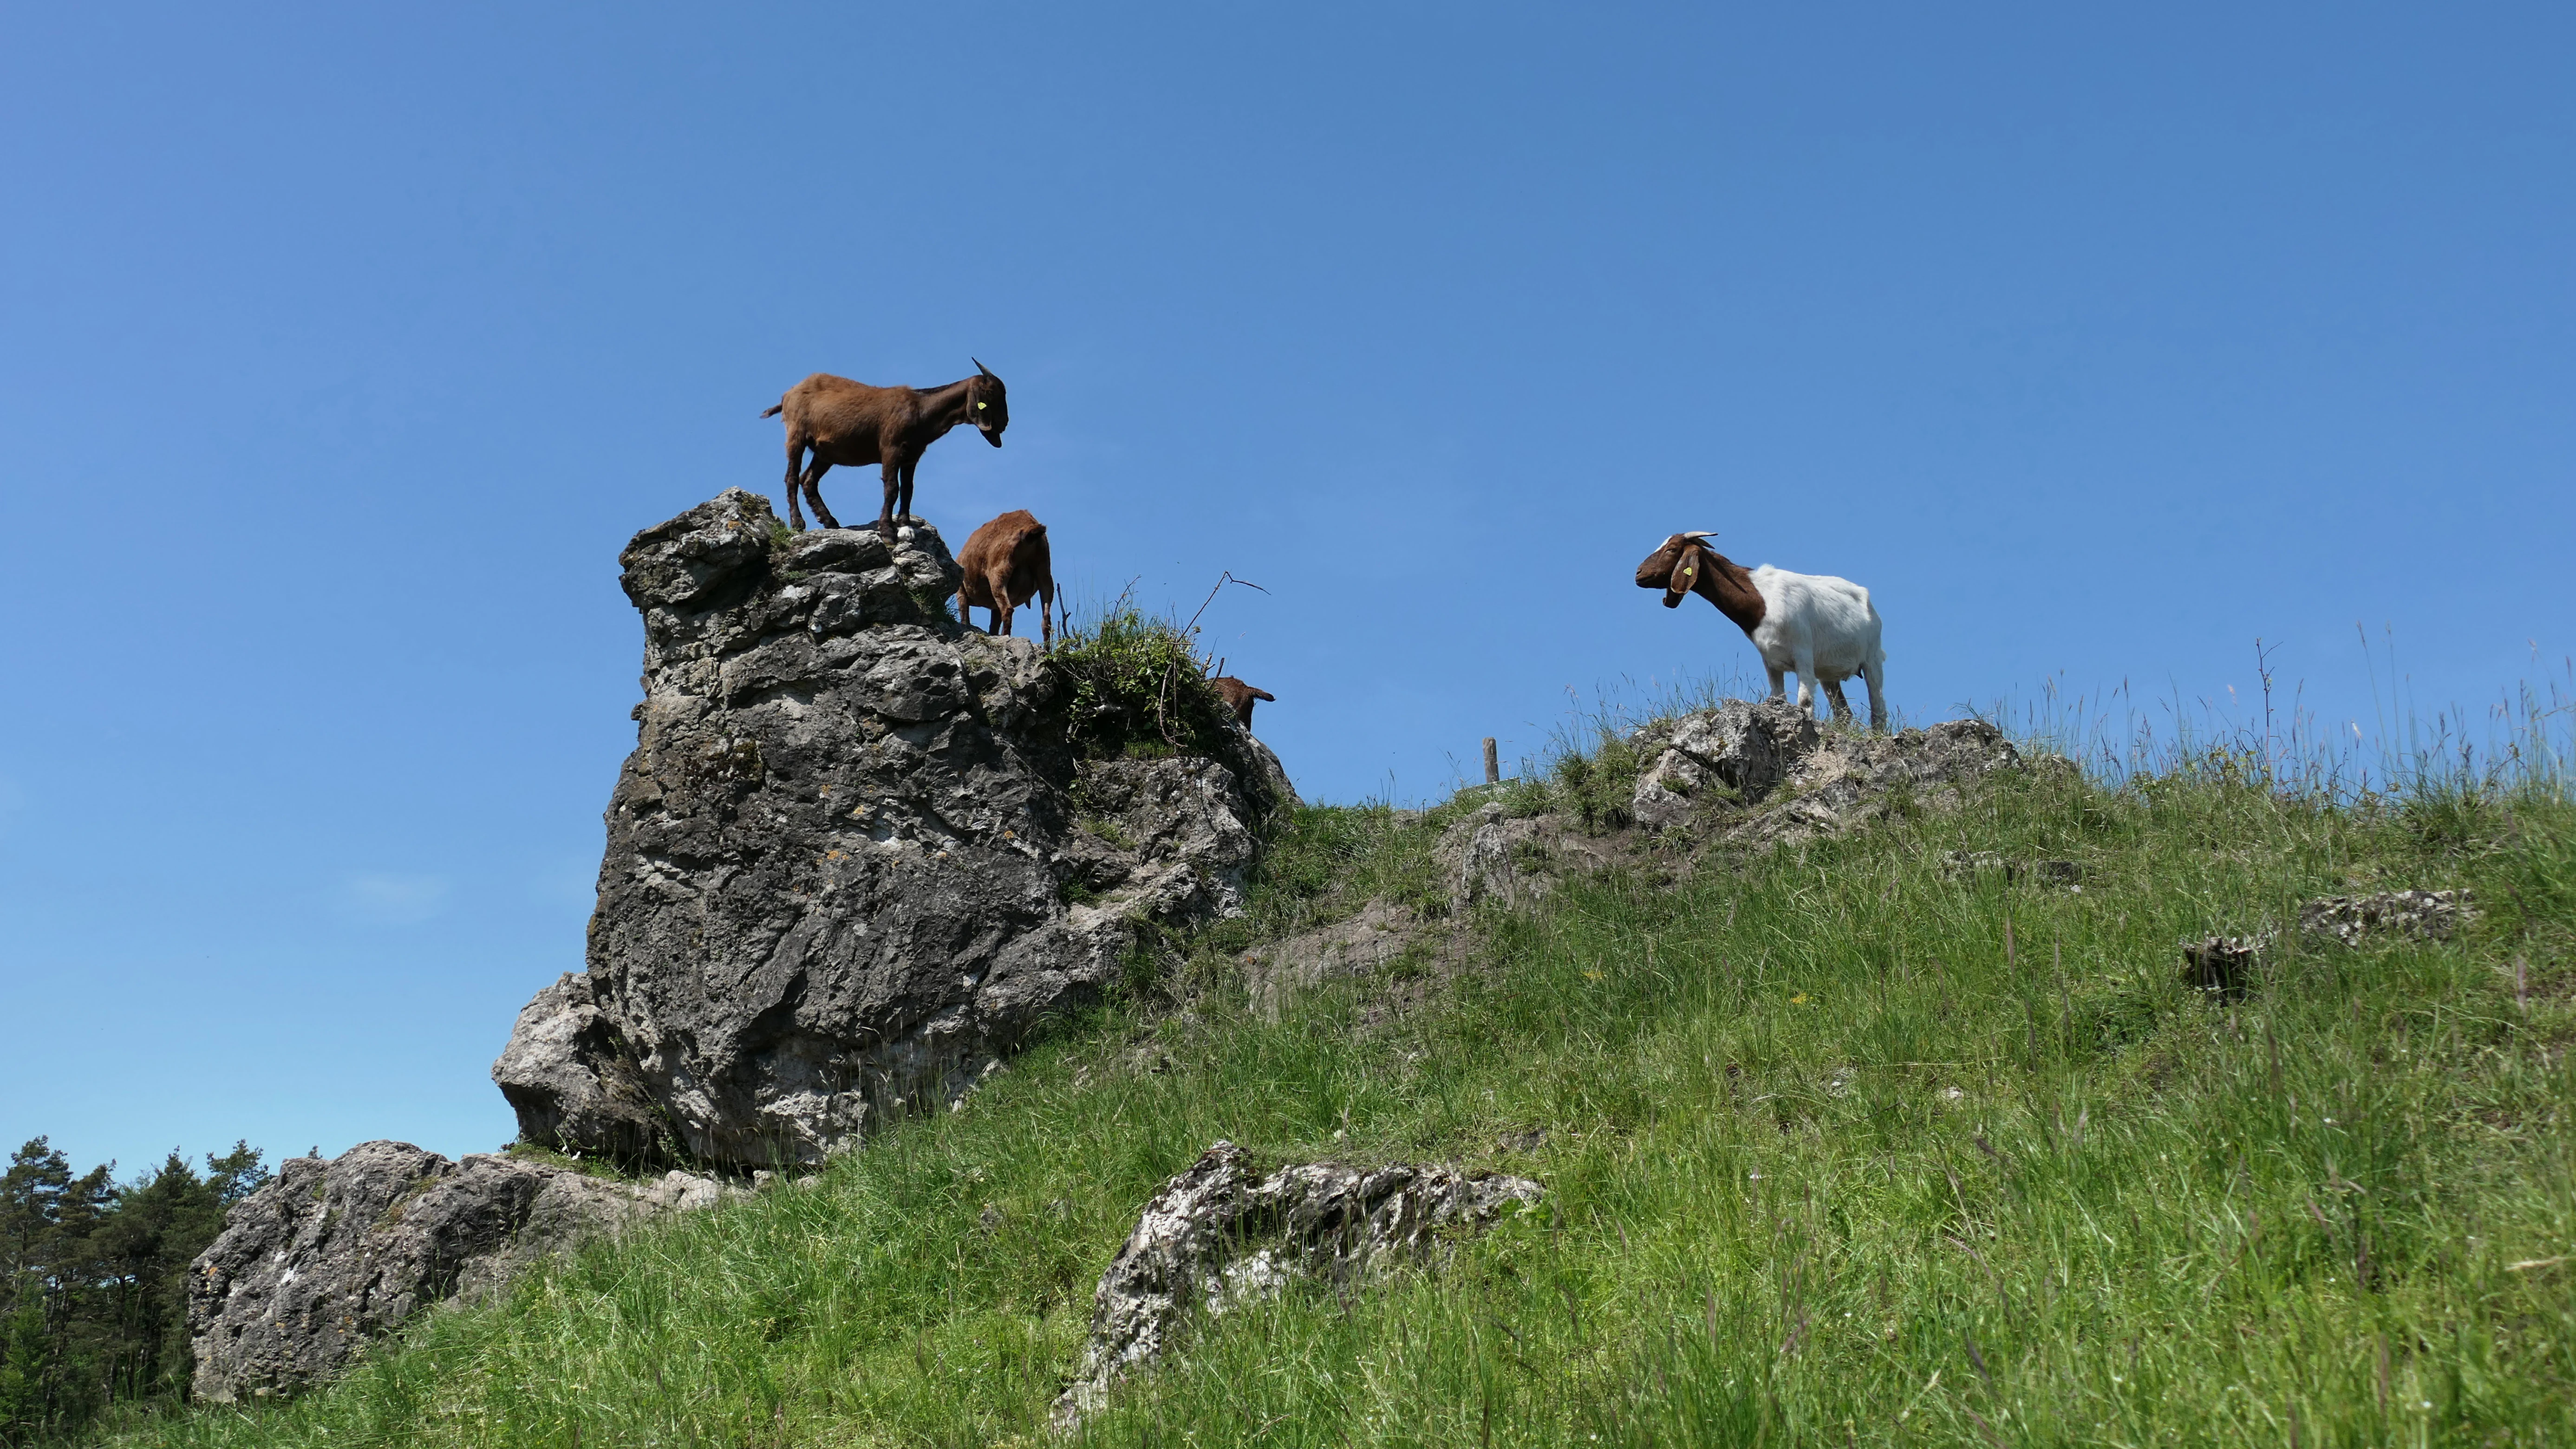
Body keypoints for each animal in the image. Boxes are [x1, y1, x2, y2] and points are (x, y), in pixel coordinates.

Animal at [759, 360, 1008, 537]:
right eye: (992, 393)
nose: (1005, 423)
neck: (920, 410)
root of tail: (788, 394)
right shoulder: (891, 449)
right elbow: (892, 488)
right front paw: (888, 531)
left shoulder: (912, 456)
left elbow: (908, 489)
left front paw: (906, 528)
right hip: (797, 434)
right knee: (792, 478)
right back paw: (798, 523)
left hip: (825, 451)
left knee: (809, 480)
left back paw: (830, 521)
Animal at [956, 509, 1056, 646]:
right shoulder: (994, 607)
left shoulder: (961, 590)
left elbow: (964, 613)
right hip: (1044, 571)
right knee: (1046, 619)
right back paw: (1046, 649)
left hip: (999, 572)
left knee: (1008, 609)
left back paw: (1006, 636)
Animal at [1635, 531, 1888, 730]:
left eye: (1672, 549)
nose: (1638, 573)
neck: (1761, 601)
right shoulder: (1770, 660)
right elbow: (1778, 697)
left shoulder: (1803, 653)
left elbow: (1805, 702)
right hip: (1828, 673)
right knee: (1844, 713)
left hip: (1872, 659)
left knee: (1878, 708)